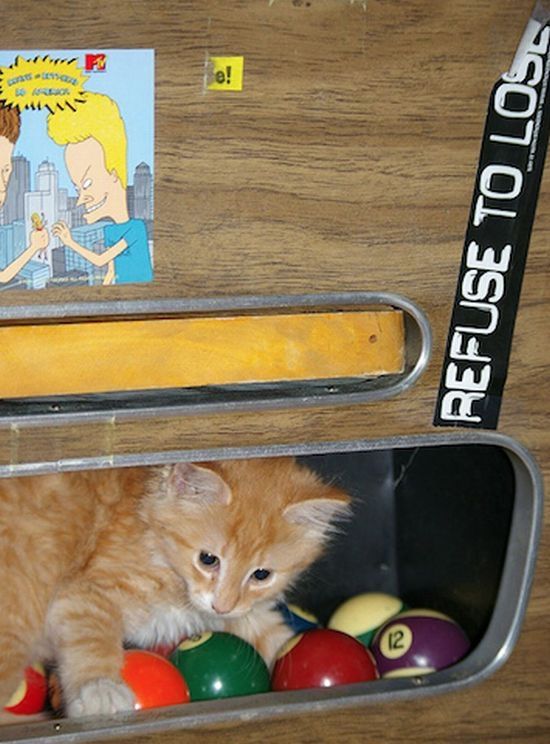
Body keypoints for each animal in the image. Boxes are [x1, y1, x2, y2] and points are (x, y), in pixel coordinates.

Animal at [0, 456, 352, 716]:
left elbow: (271, 633)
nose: (222, 605)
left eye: (261, 575)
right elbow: (92, 641)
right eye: (208, 559)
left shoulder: (237, 611)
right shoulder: (85, 592)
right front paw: (99, 688)